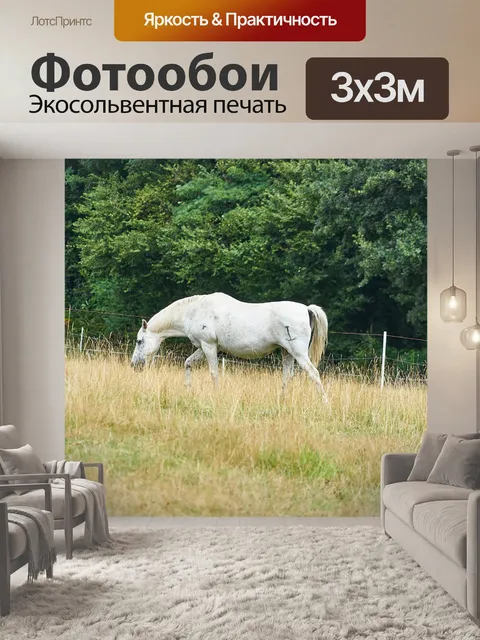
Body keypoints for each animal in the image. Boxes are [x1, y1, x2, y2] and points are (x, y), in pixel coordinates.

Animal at [131, 292, 329, 401]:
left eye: (139, 341)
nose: (134, 365)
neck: (193, 311)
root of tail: (306, 309)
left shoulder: (209, 346)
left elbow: (214, 373)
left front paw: (216, 394)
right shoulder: (203, 347)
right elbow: (187, 363)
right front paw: (188, 389)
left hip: (299, 354)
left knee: (314, 374)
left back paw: (325, 403)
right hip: (287, 353)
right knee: (287, 377)